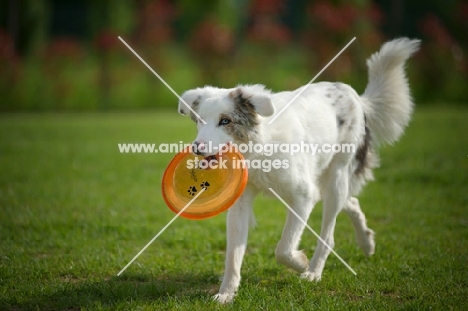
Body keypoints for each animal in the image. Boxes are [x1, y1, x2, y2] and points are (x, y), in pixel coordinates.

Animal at [177, 37, 418, 304]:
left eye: (226, 121)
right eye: (199, 121)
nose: (196, 149)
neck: (257, 149)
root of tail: (355, 95)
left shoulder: (304, 196)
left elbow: (283, 249)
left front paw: (301, 264)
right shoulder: (240, 203)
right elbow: (233, 255)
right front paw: (226, 293)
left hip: (335, 178)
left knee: (329, 233)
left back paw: (314, 272)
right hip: (326, 183)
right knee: (352, 202)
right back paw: (366, 242)